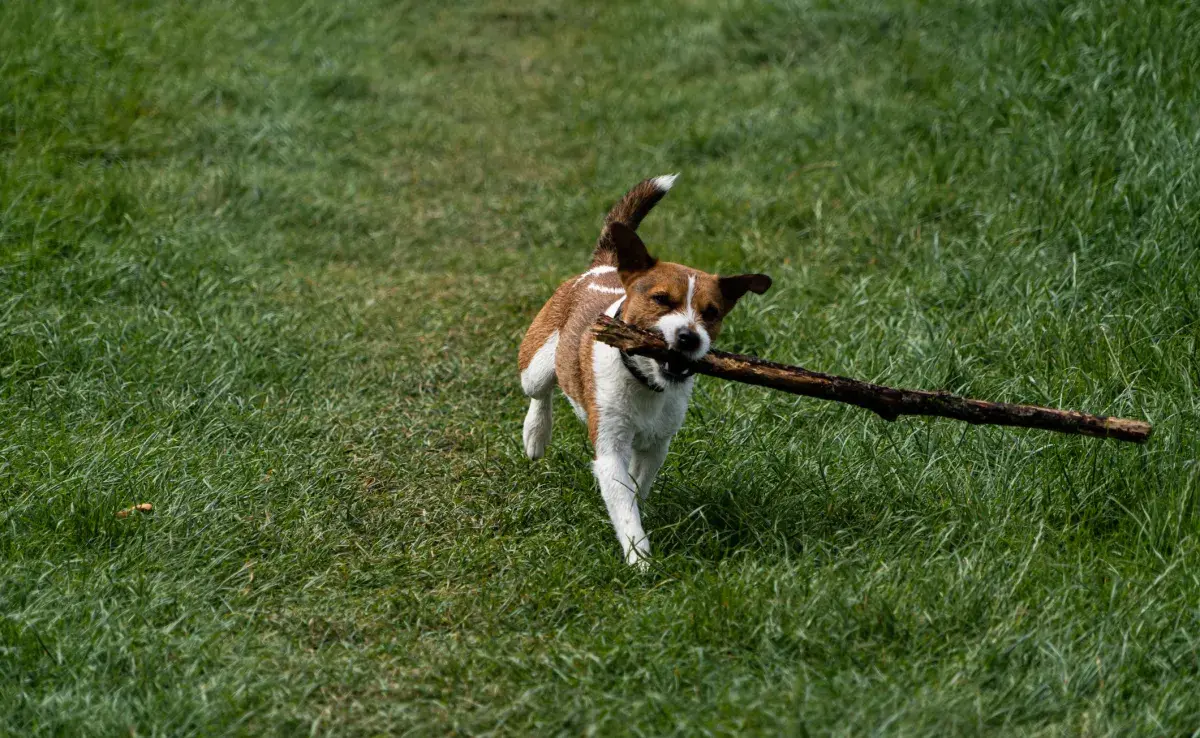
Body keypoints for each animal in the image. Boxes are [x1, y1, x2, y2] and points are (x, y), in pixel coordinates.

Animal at [520, 176, 772, 568]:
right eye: (661, 299)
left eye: (711, 313)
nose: (689, 337)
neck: (643, 380)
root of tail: (601, 267)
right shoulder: (611, 446)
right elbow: (624, 503)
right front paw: (640, 559)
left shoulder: (656, 446)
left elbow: (637, 489)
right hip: (538, 361)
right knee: (539, 392)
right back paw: (536, 434)